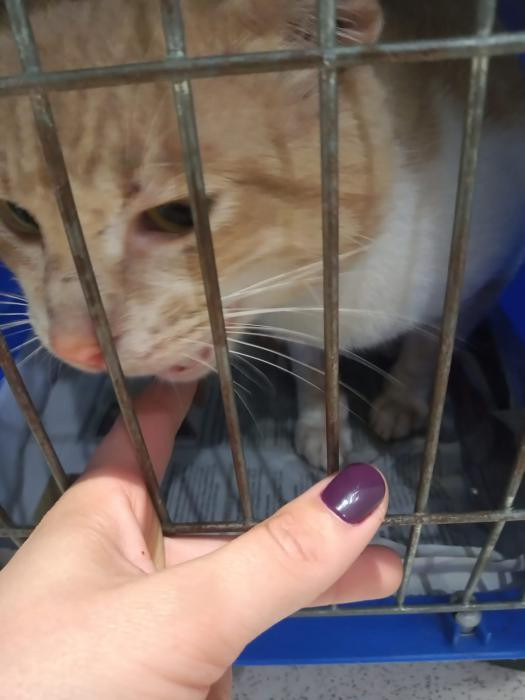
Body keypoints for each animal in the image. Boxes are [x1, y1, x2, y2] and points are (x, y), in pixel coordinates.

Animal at [0, 0, 524, 469]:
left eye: (177, 214)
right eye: (18, 217)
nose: (71, 345)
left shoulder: (486, 278)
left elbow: (430, 346)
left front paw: (402, 401)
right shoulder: (300, 328)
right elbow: (312, 370)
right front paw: (321, 426)